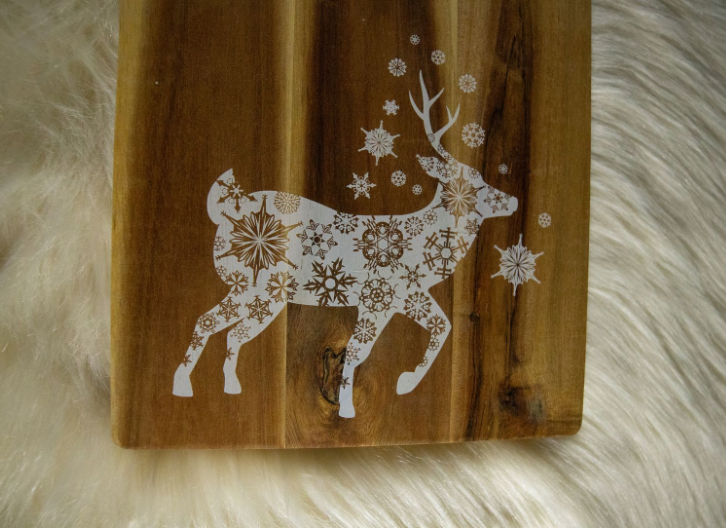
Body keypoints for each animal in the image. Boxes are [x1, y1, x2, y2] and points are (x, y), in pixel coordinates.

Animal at [172, 72, 518, 418]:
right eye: (474, 183)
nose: (514, 200)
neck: (423, 241)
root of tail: (223, 213)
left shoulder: (405, 297)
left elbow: (442, 327)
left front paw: (402, 383)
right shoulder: (377, 298)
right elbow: (356, 350)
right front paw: (349, 409)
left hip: (263, 297)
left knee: (231, 332)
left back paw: (229, 387)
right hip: (252, 285)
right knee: (209, 322)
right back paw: (183, 386)